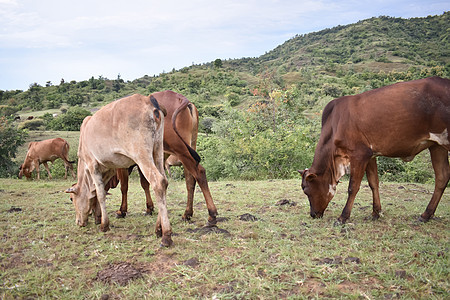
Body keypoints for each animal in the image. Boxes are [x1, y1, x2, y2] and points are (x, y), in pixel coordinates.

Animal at [65, 93, 172, 246]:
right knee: (164, 181)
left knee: (158, 182)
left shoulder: (92, 165)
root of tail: (148, 100)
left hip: (142, 155)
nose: (78, 222)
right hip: (157, 150)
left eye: (71, 198)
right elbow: (100, 192)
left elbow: (100, 194)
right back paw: (158, 229)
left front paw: (104, 224)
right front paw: (98, 217)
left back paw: (166, 236)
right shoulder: (109, 168)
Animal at [111, 90, 219, 226]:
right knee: (190, 179)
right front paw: (149, 208)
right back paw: (187, 214)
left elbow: (124, 187)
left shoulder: (124, 164)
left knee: (199, 172)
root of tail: (181, 97)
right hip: (189, 146)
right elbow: (145, 184)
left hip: (180, 148)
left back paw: (211, 214)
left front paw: (122, 210)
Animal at [298, 76, 450, 224]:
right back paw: (425, 215)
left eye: (306, 191)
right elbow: (373, 183)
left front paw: (343, 217)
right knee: (442, 177)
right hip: (437, 145)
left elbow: (353, 187)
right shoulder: (370, 155)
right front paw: (376, 212)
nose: (313, 214)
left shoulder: (359, 154)